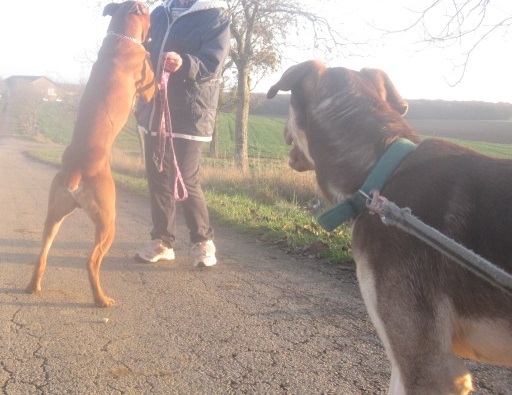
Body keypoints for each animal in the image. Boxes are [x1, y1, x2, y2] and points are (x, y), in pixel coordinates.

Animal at [26, 1, 154, 308]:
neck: (121, 38)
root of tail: (76, 170)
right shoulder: (151, 86)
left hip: (55, 215)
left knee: (43, 253)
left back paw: (34, 286)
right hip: (108, 222)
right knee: (91, 262)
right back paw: (101, 299)